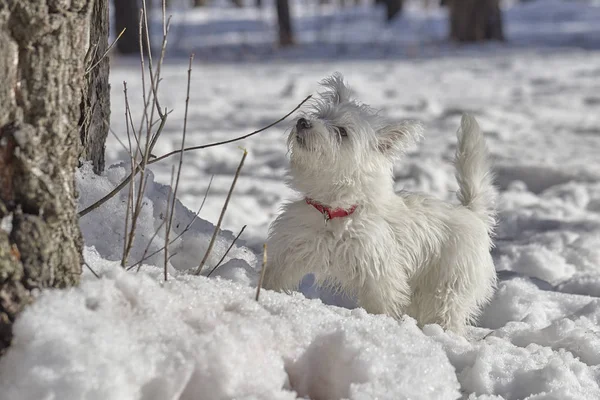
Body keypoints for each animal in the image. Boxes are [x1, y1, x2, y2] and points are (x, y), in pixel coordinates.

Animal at [264, 73, 496, 332]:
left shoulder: (379, 275)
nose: (303, 121)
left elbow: (381, 305)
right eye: (322, 115)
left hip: (448, 288)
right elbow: (275, 275)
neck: (336, 210)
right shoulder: (292, 249)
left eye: (342, 132)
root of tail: (471, 212)